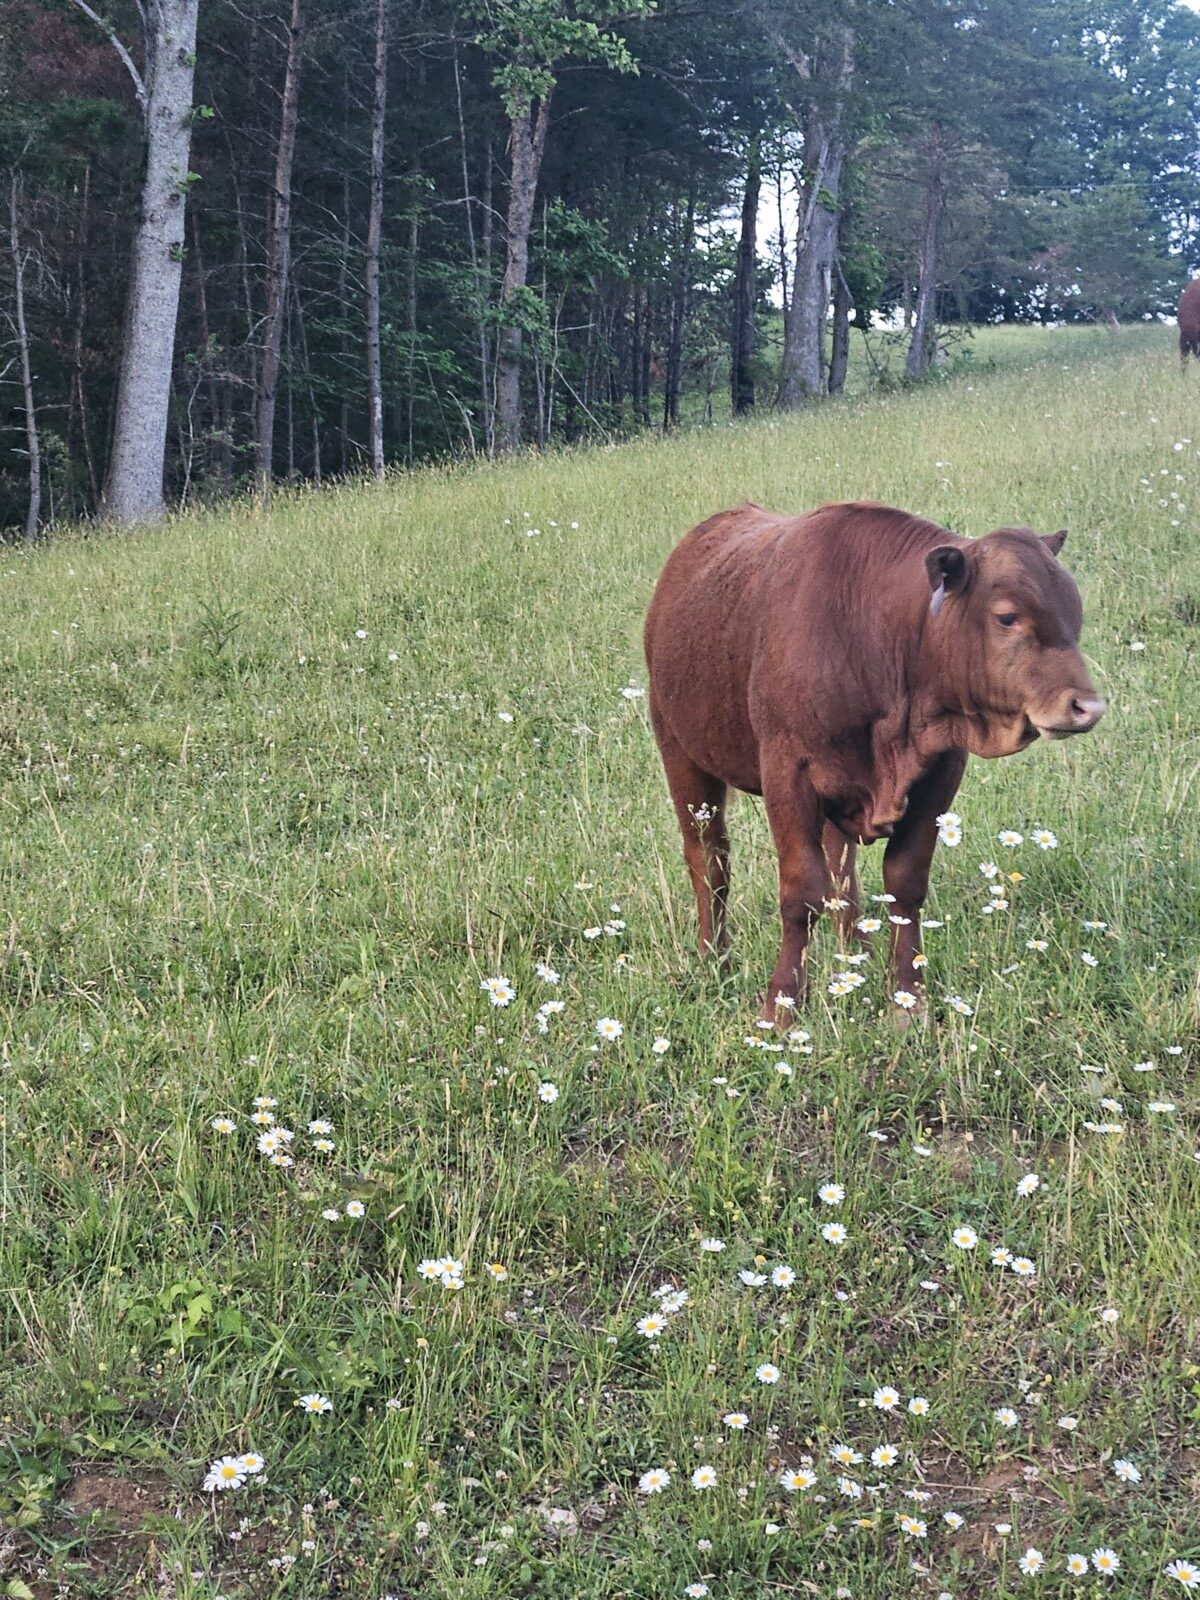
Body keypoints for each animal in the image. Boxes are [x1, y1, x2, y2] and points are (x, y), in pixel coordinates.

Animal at [644, 500, 1105, 1022]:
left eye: (1074, 610)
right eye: (1007, 617)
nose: (1087, 707)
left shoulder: (940, 773)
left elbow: (903, 884)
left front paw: (908, 1000)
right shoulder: (787, 773)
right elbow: (800, 892)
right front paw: (782, 1006)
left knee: (842, 880)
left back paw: (852, 962)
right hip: (680, 751)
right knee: (710, 860)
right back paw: (714, 960)